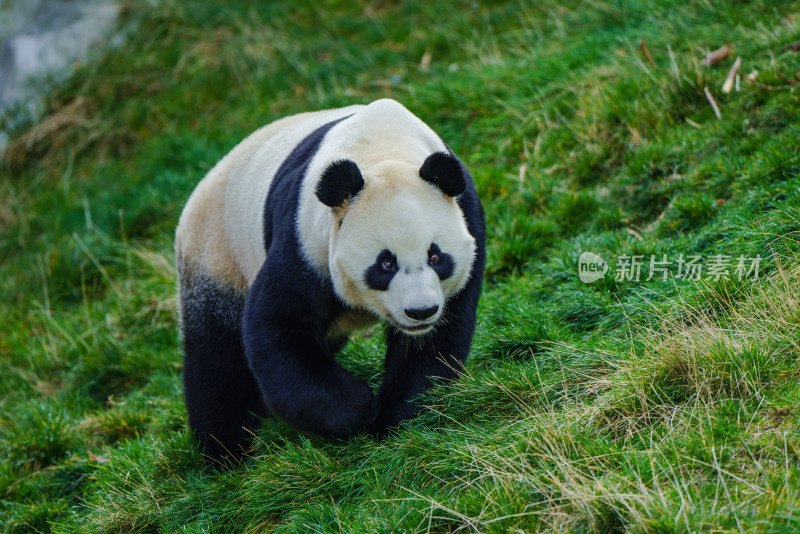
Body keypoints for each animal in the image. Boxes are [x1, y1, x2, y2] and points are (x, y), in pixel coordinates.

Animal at [176, 97, 484, 460]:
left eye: (435, 257)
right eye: (386, 264)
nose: (420, 312)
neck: (385, 153)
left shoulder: (467, 216)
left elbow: (435, 343)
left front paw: (401, 419)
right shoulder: (305, 241)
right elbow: (277, 327)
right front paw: (358, 409)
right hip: (219, 253)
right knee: (218, 359)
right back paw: (223, 452)